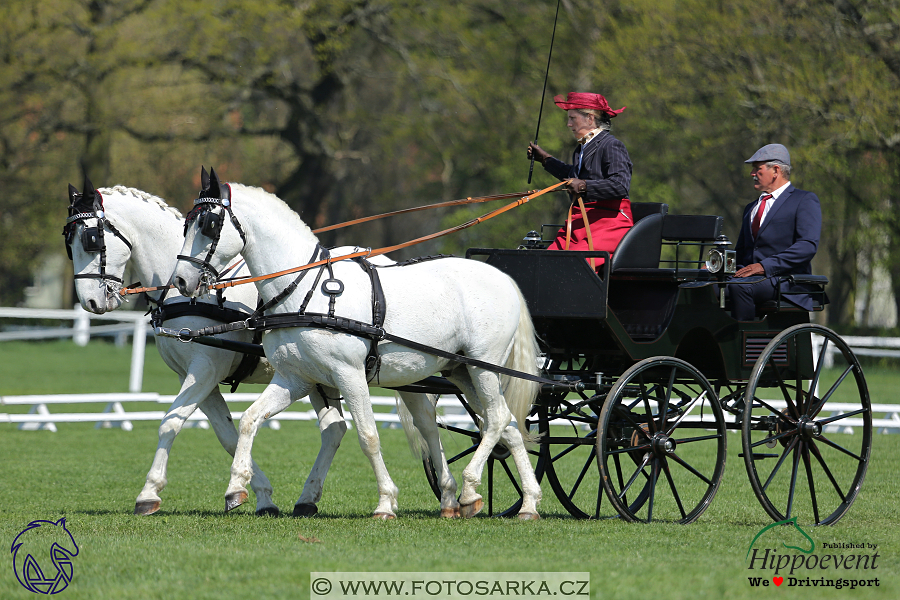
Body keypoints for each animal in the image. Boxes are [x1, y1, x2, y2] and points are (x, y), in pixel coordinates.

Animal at [67, 178, 422, 516]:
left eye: (90, 240)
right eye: (68, 243)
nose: (90, 302)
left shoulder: (205, 369)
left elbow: (172, 422)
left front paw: (150, 492)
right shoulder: (198, 378)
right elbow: (227, 434)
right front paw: (259, 494)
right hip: (318, 376)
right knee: (334, 429)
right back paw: (307, 499)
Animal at [174, 170, 540, 520]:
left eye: (208, 224)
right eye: (186, 224)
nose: (180, 280)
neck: (306, 289)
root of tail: (503, 278)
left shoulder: (348, 374)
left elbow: (368, 436)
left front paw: (385, 503)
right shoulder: (295, 379)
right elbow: (250, 419)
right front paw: (237, 487)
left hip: (483, 367)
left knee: (495, 419)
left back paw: (470, 490)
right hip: (461, 370)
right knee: (506, 422)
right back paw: (528, 503)